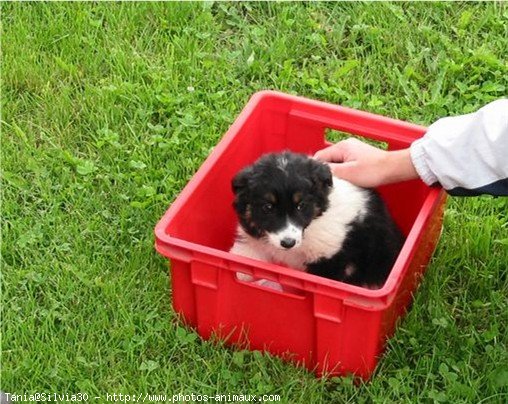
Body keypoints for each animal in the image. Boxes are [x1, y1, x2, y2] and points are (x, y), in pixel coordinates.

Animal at [231, 151, 404, 288]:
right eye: (268, 207)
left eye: (301, 205)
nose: (288, 243)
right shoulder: (253, 240)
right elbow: (244, 259)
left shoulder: (328, 258)